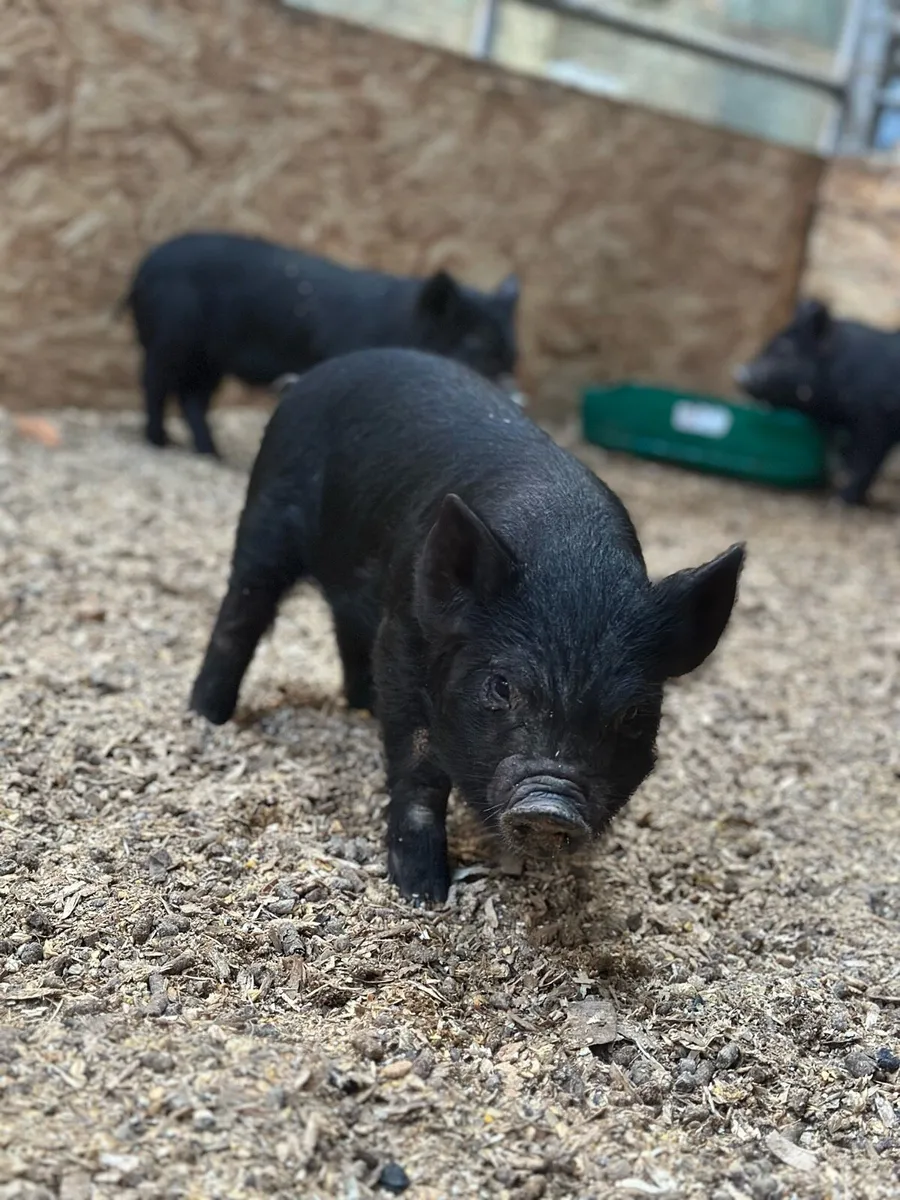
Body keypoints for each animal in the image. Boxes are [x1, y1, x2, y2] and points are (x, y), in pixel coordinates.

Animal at [121, 231, 521, 458]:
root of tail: (141, 271)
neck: (399, 326)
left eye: (512, 351)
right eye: (473, 340)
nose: (511, 388)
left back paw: (211, 455)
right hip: (171, 338)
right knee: (154, 382)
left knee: (194, 398)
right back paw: (159, 442)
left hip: (209, 360)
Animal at [190, 348, 745, 903]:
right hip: (265, 516)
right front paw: (423, 893)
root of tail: (309, 377)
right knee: (241, 612)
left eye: (634, 713)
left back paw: (362, 707)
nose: (550, 806)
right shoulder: (405, 633)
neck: (572, 559)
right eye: (501, 686)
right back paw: (205, 717)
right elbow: (419, 761)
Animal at [734, 299, 900, 506]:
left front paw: (840, 501)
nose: (740, 374)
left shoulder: (874, 420)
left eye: (785, 351)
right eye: (767, 345)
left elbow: (863, 462)